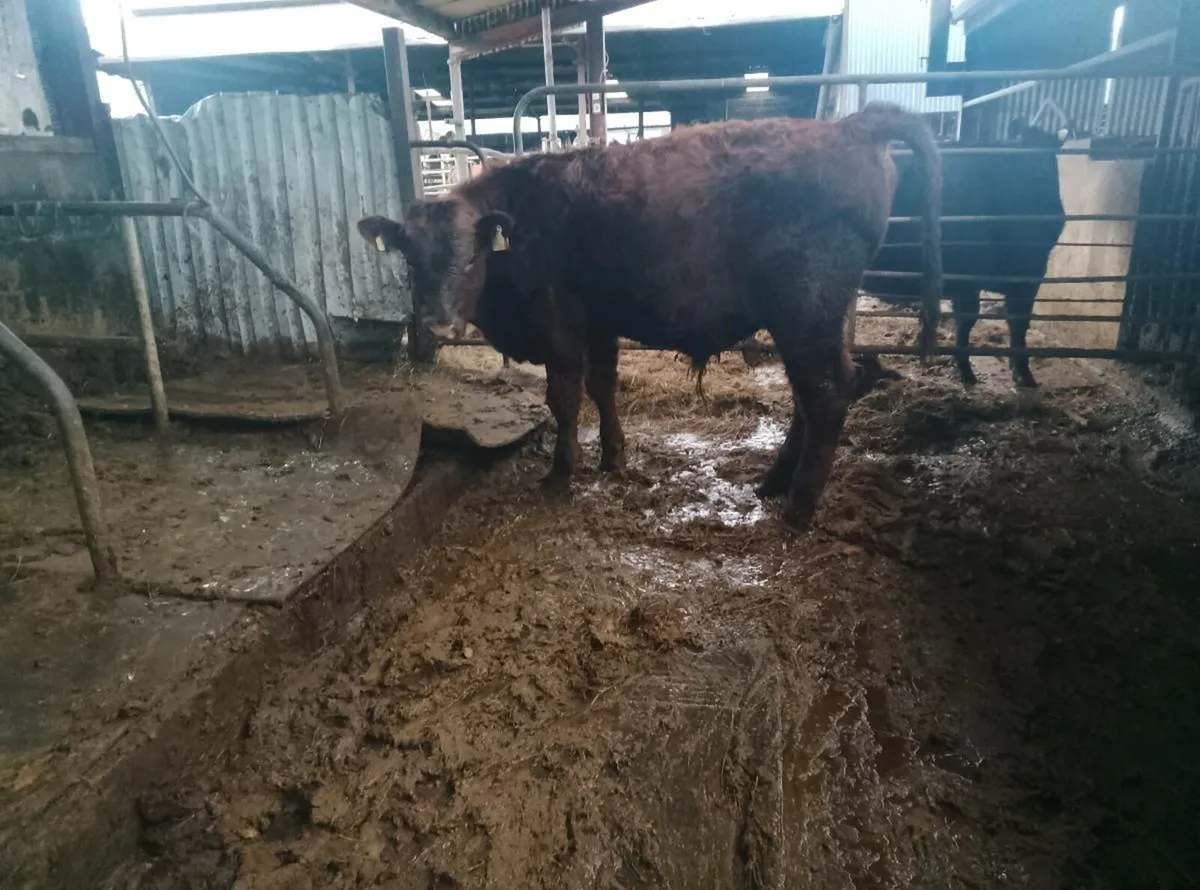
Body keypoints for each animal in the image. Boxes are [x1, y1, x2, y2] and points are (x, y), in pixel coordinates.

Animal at [358, 102, 942, 529]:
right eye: (410, 257)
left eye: (470, 257)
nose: (437, 324)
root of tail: (850, 127)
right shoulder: (599, 322)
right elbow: (603, 386)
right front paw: (613, 456)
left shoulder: (560, 320)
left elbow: (564, 396)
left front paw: (560, 473)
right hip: (818, 320)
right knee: (816, 393)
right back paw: (773, 483)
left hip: (805, 312)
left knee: (825, 397)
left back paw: (798, 507)